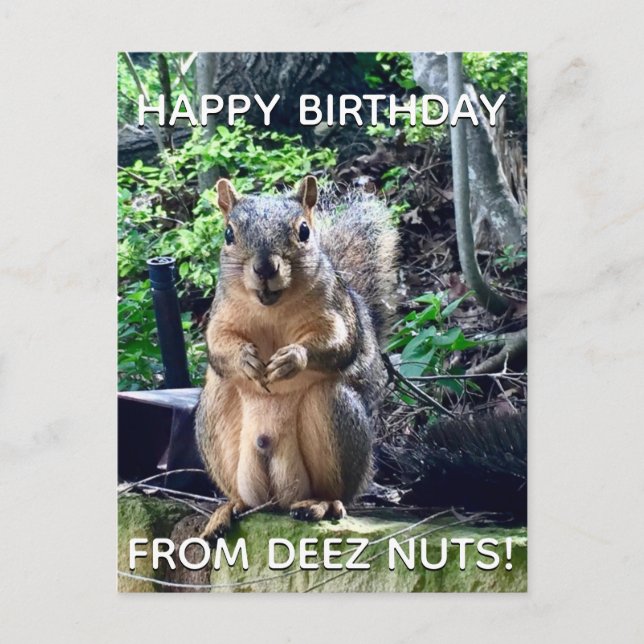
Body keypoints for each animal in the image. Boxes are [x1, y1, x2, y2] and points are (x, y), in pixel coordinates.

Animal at [195, 175, 398, 540]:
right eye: (228, 234)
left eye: (304, 231)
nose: (264, 267)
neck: (271, 307)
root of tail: (277, 498)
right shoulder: (220, 316)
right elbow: (218, 347)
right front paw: (245, 359)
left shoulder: (335, 311)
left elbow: (339, 343)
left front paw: (292, 359)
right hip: (215, 414)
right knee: (242, 497)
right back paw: (228, 509)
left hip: (334, 412)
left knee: (334, 491)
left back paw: (322, 504)